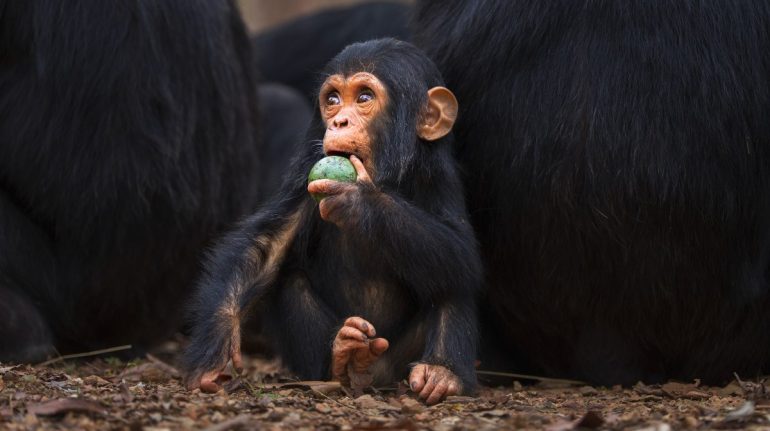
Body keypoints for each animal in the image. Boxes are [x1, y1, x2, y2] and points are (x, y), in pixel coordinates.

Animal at [182, 38, 476, 404]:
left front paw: (359, 200)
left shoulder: (441, 180)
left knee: (450, 278)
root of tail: (376, 374)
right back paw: (345, 353)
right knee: (291, 281)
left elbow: (459, 248)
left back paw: (441, 373)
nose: (338, 123)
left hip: (397, 359)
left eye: (364, 97)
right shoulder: (303, 175)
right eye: (333, 100)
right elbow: (264, 246)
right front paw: (214, 349)